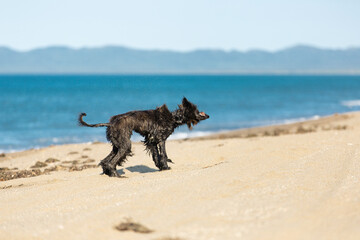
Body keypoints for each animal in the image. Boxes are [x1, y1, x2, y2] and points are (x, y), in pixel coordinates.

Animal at [79, 96, 208, 177]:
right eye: (196, 110)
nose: (208, 115)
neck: (174, 118)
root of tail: (111, 123)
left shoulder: (151, 141)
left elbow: (156, 155)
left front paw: (161, 167)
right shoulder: (161, 139)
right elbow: (163, 155)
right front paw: (165, 167)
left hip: (117, 144)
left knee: (105, 161)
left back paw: (109, 173)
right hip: (125, 145)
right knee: (111, 162)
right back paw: (116, 175)